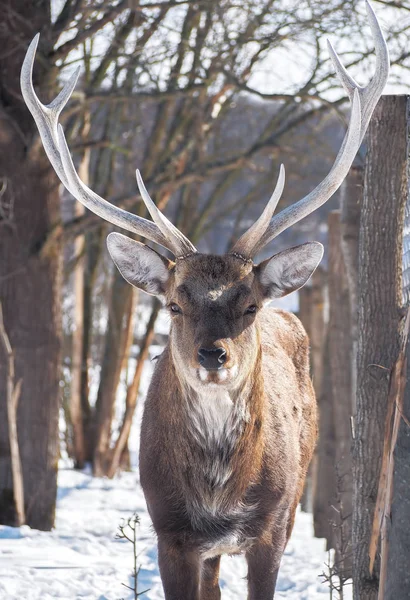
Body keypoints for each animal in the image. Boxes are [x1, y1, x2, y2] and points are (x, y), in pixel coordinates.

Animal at [21, 2, 388, 596]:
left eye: (250, 305)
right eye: (174, 304)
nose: (213, 354)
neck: (219, 497)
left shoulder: (271, 529)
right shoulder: (169, 531)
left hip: (293, 500)